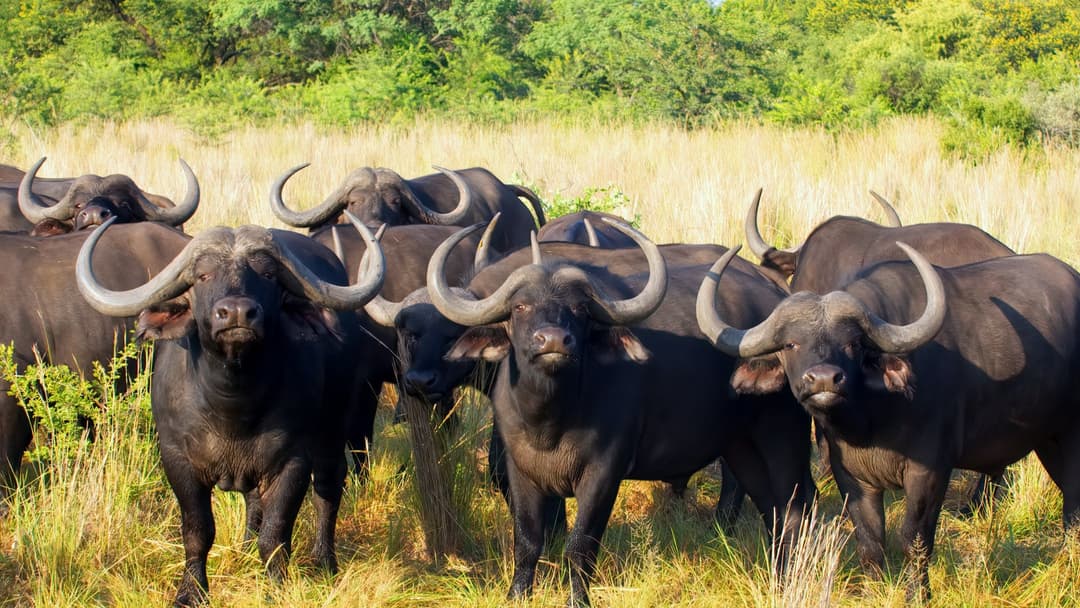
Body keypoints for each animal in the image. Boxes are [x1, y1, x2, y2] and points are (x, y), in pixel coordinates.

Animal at [698, 243, 1080, 599]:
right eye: (790, 343)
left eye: (853, 343)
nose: (824, 380)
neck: (871, 423)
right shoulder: (851, 475)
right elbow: (869, 540)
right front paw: (873, 590)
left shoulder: (930, 472)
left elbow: (915, 540)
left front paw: (918, 595)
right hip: (1048, 441)